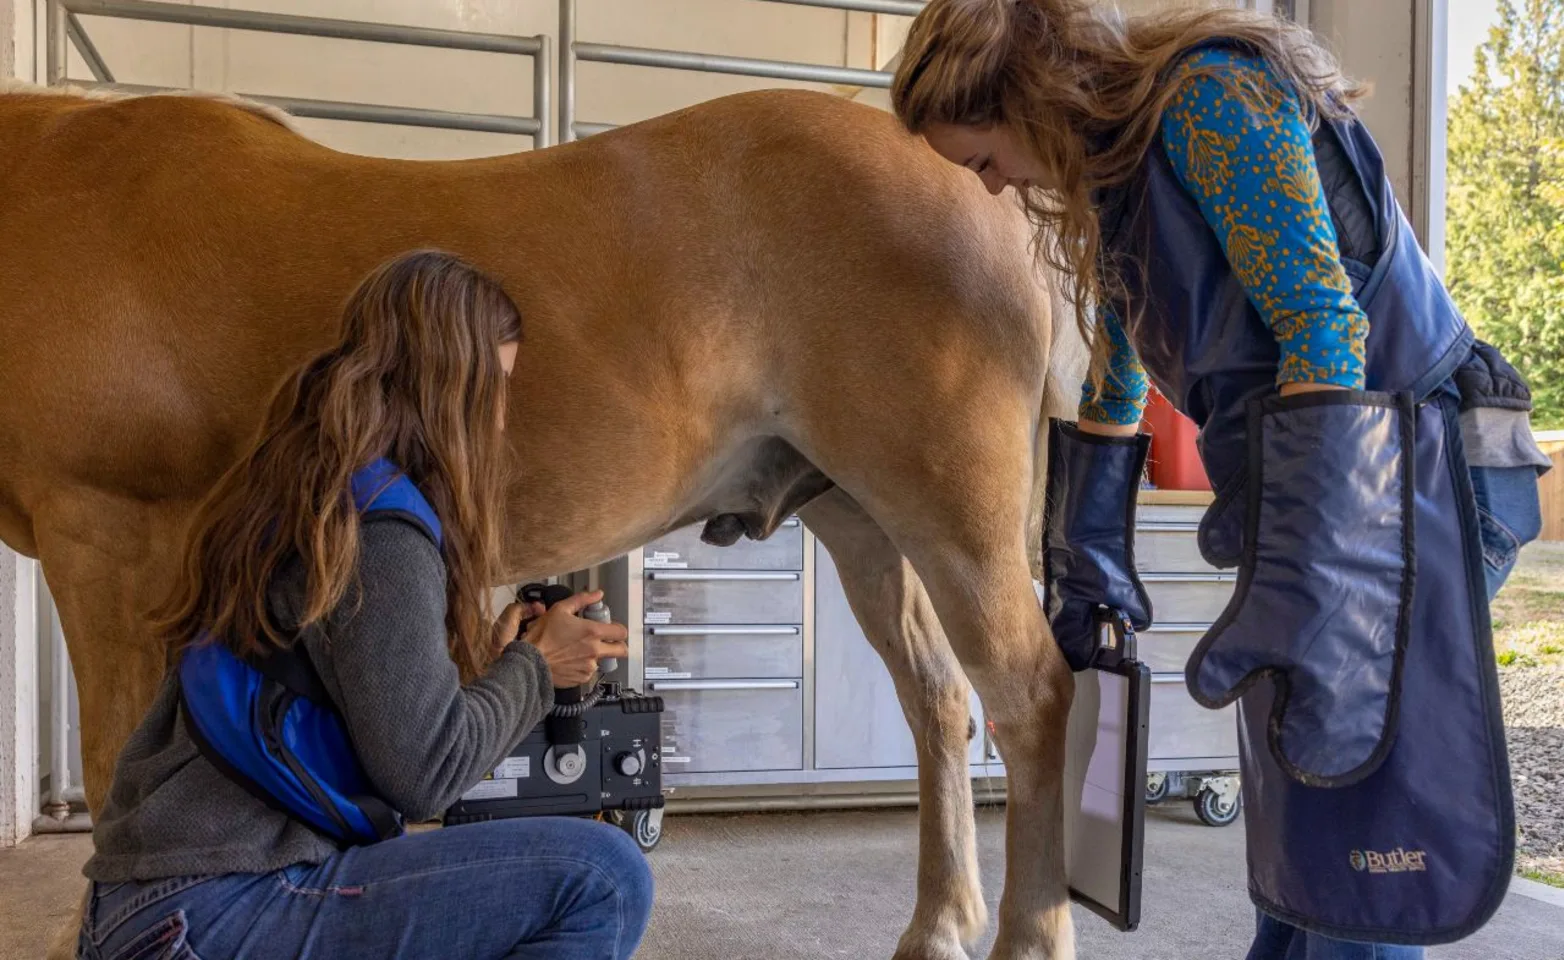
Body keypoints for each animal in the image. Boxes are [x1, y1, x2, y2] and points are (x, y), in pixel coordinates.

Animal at [3, 82, 1088, 960]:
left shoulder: (109, 538)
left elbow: (115, 770)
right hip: (863, 519)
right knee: (940, 700)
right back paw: (937, 924)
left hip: (950, 515)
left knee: (1032, 697)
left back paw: (1026, 935)